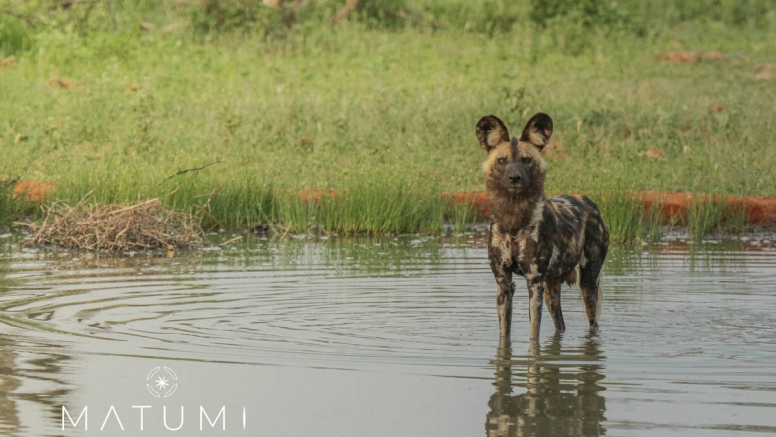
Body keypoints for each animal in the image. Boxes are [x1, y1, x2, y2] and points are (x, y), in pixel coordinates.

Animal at [476, 112, 608, 338]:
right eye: (502, 161)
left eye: (526, 160)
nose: (514, 178)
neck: (513, 220)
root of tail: (589, 202)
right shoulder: (503, 283)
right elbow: (504, 336)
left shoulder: (534, 283)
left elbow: (533, 335)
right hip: (551, 288)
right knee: (560, 324)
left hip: (588, 284)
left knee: (593, 324)